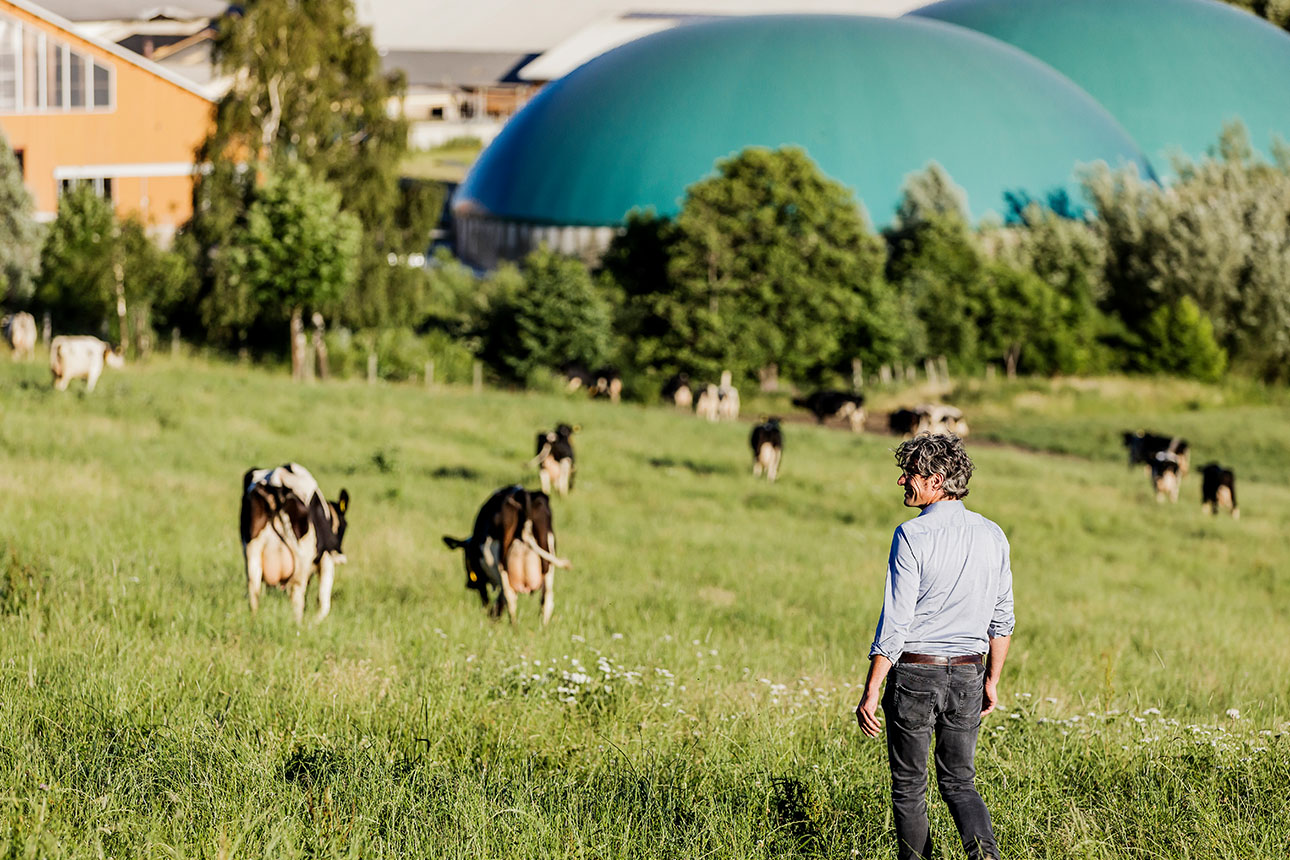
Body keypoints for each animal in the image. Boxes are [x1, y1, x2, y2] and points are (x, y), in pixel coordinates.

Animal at [239, 464, 350, 626]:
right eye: (344, 526)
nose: (340, 553)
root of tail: (275, 480)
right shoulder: (326, 558)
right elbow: (323, 602)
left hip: (252, 552)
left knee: (254, 590)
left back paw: (254, 622)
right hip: (301, 558)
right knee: (297, 594)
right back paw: (298, 625)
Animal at [438, 487, 570, 621]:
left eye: (466, 558)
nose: (469, 584)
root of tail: (522, 494)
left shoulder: (483, 579)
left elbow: (489, 601)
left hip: (501, 563)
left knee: (510, 599)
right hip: (547, 562)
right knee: (546, 601)